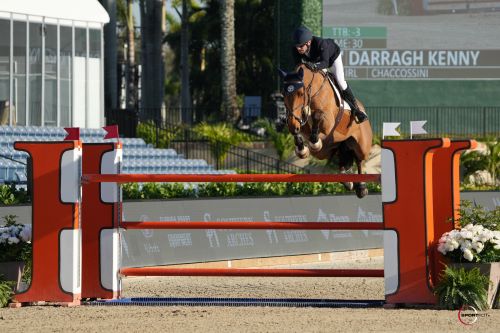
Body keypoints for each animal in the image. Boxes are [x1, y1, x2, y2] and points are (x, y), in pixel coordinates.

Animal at [280, 63, 374, 197]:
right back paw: (347, 181)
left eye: (300, 93)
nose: (293, 124)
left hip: (362, 146)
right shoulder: (300, 124)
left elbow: (317, 116)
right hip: (327, 151)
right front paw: (302, 149)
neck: (314, 91)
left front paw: (313, 142)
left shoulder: (328, 121)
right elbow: (299, 131)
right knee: (344, 159)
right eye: (283, 94)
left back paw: (361, 187)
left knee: (359, 159)